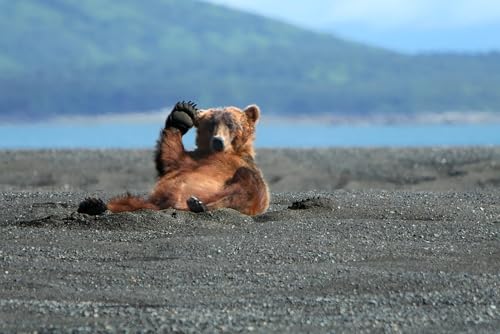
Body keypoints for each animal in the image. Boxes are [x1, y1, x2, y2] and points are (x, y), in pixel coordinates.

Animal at [77, 100, 270, 215]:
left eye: (231, 124)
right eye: (211, 124)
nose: (218, 141)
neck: (222, 154)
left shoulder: (240, 165)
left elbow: (253, 187)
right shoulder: (190, 161)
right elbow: (170, 157)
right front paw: (182, 114)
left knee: (245, 187)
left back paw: (199, 204)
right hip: (149, 201)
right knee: (127, 202)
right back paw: (95, 205)